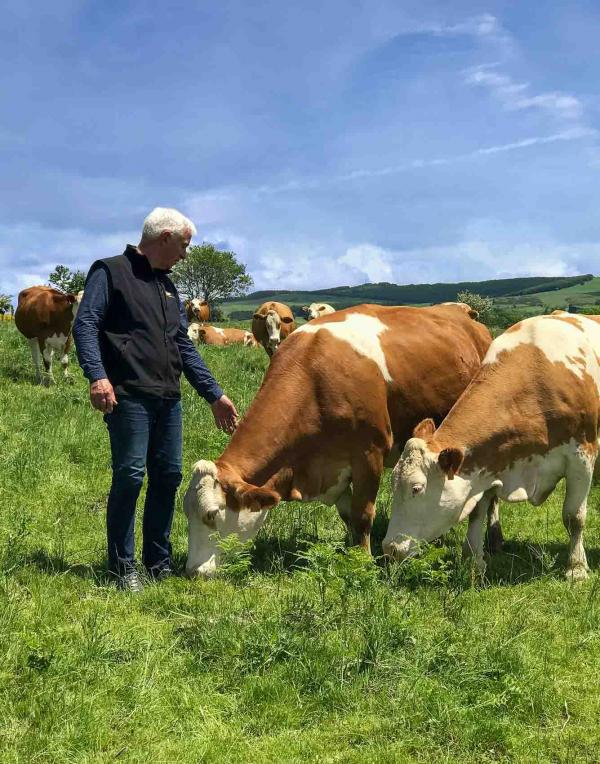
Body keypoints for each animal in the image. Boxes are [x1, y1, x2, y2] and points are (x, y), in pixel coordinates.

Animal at [184, 302, 492, 576]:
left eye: (211, 514)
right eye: (186, 513)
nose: (192, 571)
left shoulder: (369, 454)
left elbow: (362, 514)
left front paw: (363, 561)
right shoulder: (329, 467)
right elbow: (347, 515)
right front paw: (351, 551)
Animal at [384, 310, 600, 580]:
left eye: (416, 488)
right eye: (393, 484)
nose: (389, 548)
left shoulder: (582, 457)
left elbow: (574, 516)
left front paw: (576, 568)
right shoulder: (487, 463)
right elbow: (477, 510)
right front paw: (473, 561)